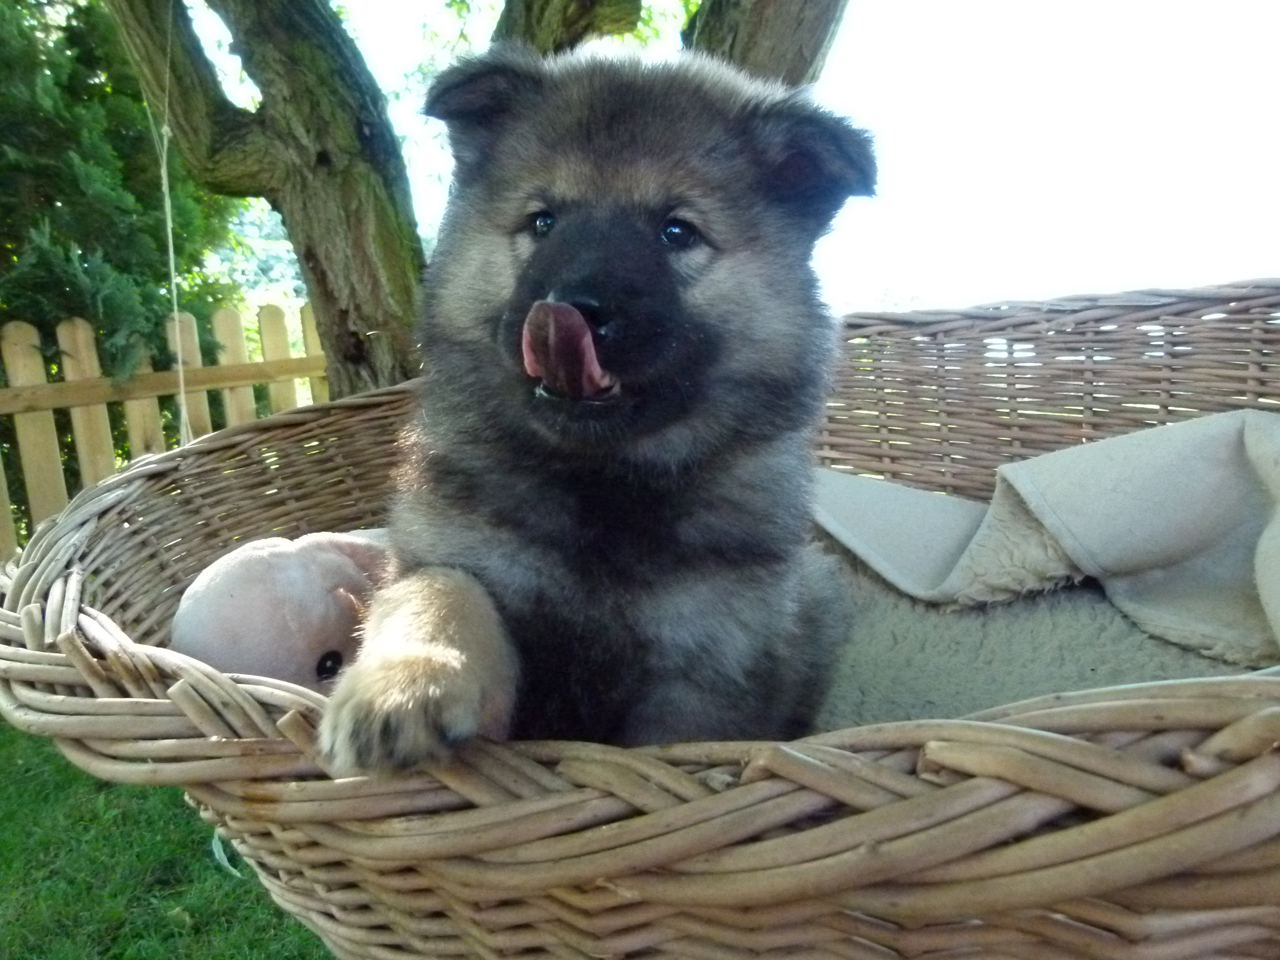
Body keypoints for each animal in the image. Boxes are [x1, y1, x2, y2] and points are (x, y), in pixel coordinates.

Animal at [318, 45, 874, 775]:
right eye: (543, 221)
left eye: (676, 231)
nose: (570, 308)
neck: (601, 481)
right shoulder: (448, 553)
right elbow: (439, 593)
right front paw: (405, 686)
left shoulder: (705, 673)